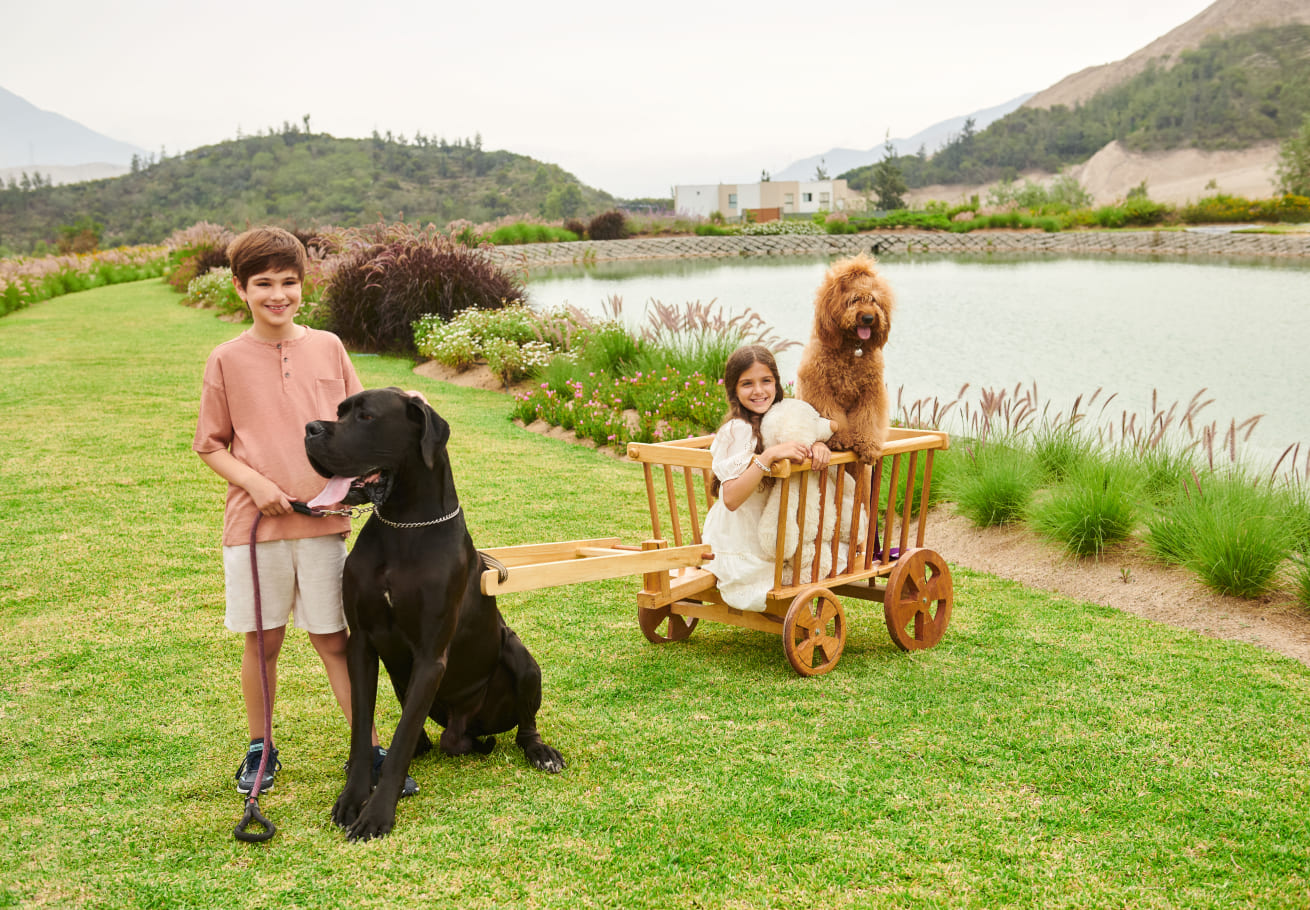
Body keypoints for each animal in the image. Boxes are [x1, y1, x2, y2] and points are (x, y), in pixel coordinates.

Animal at [303, 387, 565, 843]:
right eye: (340, 410)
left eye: (367, 417)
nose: (310, 428)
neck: (403, 527)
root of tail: (466, 728)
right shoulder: (362, 644)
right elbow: (362, 731)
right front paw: (353, 798)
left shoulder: (430, 656)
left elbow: (400, 740)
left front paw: (377, 814)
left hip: (518, 653)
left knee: (523, 725)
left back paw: (540, 751)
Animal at [791, 252, 896, 466]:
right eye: (854, 299)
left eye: (873, 300)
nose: (868, 318)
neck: (852, 348)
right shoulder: (819, 388)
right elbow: (833, 418)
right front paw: (839, 440)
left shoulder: (871, 392)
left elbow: (868, 419)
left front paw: (868, 445)